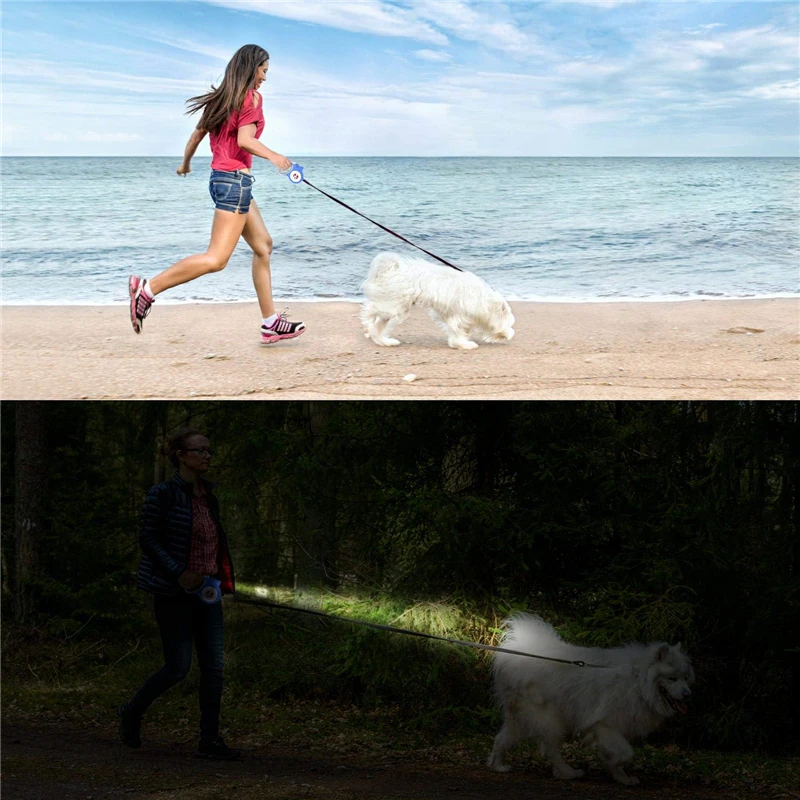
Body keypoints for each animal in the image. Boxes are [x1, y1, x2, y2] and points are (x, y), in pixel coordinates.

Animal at [360, 252, 516, 348]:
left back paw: (384, 341)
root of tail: (392, 268)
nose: (511, 334)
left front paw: (457, 343)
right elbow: (458, 329)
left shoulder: (454, 315)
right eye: (509, 323)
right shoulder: (460, 315)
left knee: (377, 326)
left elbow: (456, 330)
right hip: (393, 305)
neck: (483, 301)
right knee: (371, 309)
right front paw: (464, 344)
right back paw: (367, 321)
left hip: (392, 304)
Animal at [488, 616, 692, 784]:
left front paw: (622, 778)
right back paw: (568, 772)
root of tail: (516, 650)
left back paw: (498, 766)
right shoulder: (602, 725)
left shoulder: (617, 726)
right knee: (551, 750)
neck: (637, 680)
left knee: (501, 739)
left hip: (521, 717)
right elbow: (626, 753)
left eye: (685, 677)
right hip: (548, 719)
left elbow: (621, 757)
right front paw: (613, 762)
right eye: (672, 678)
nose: (688, 695)